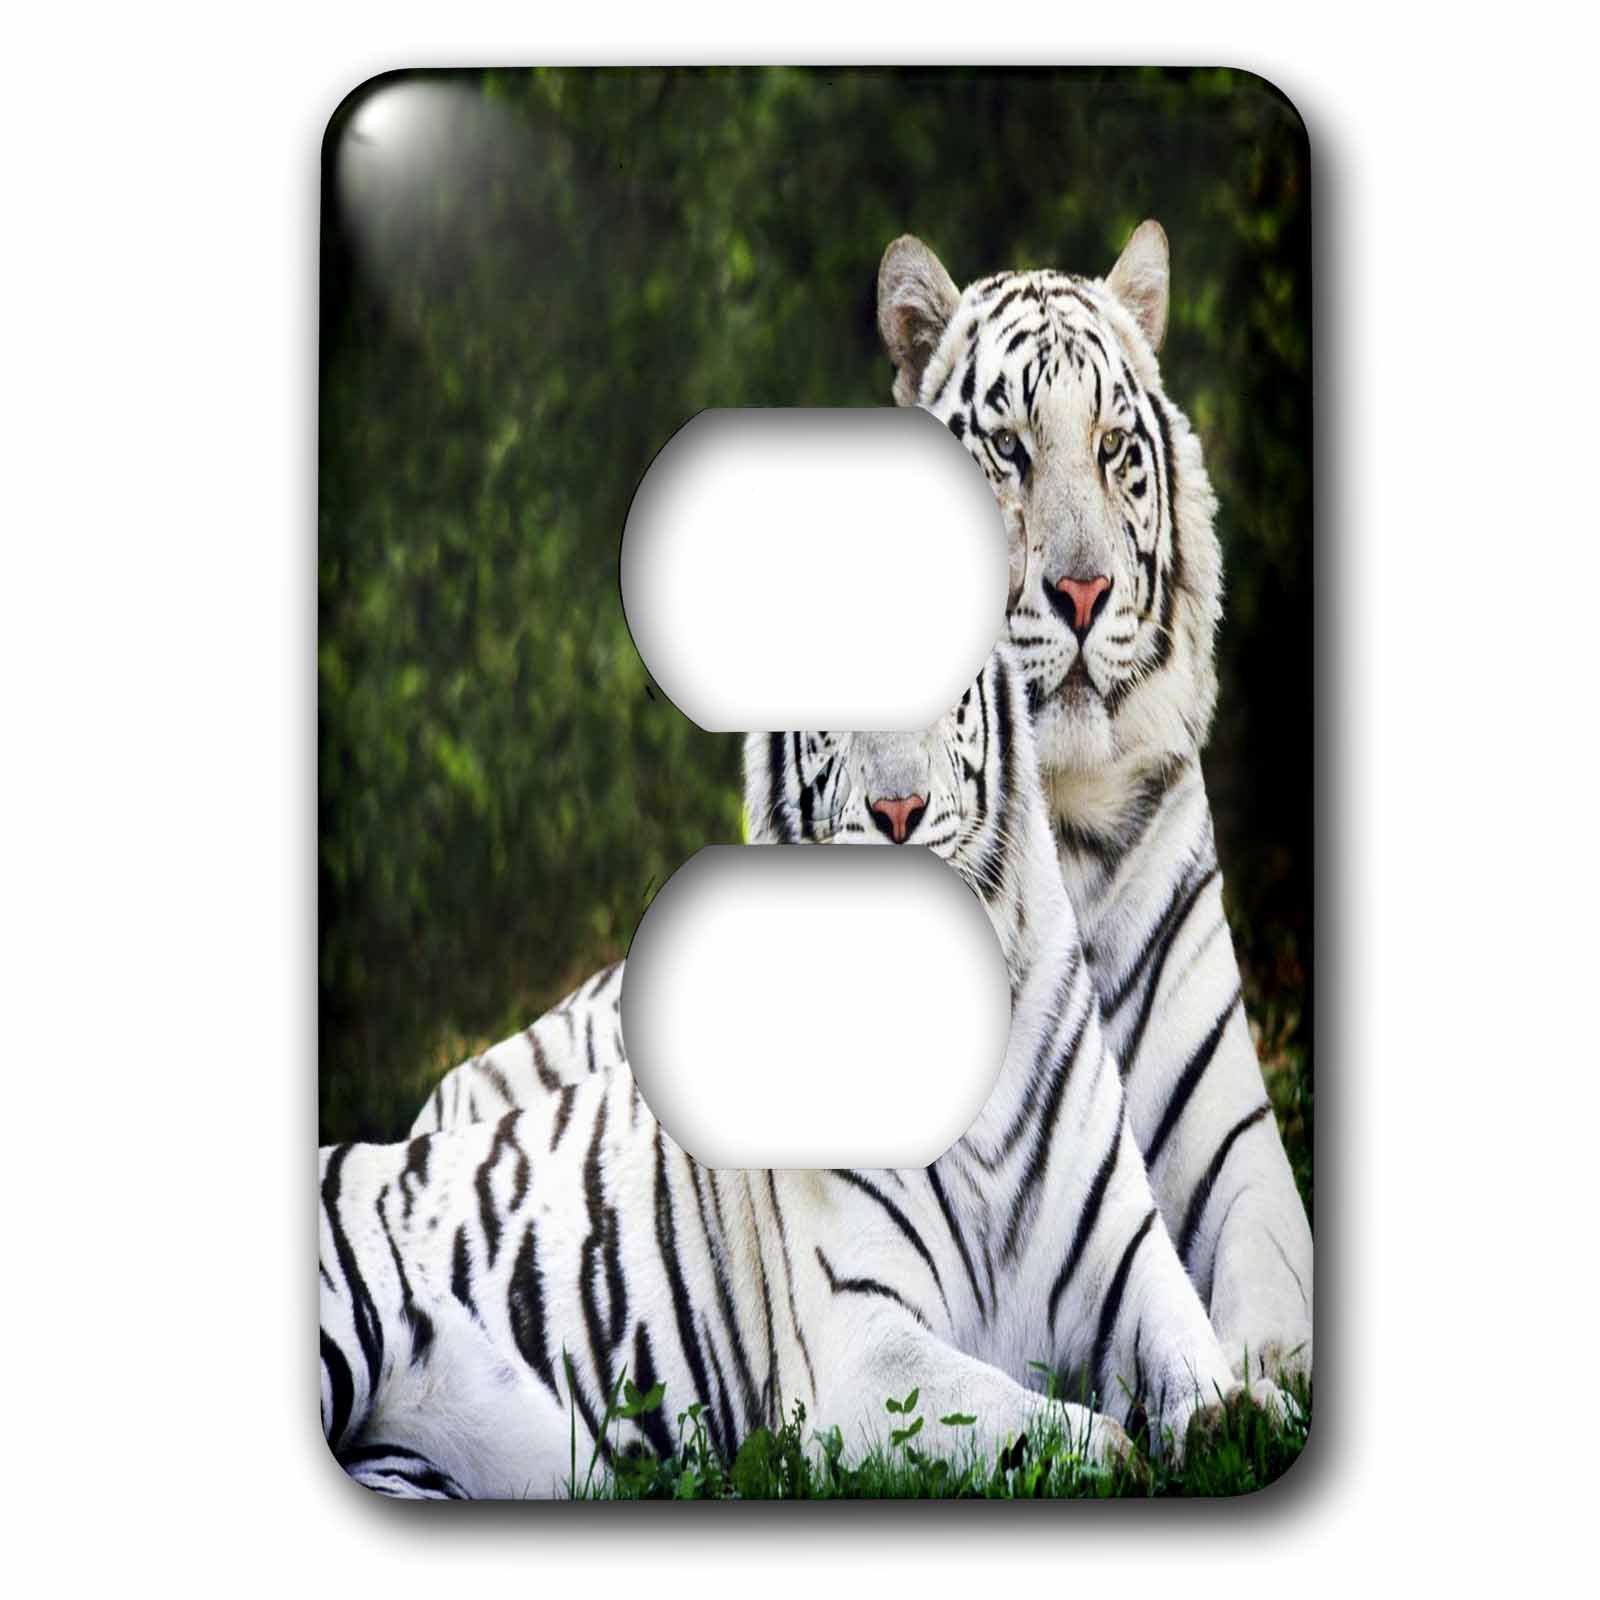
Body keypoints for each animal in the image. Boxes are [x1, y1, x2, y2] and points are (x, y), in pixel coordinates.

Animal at [323, 648, 1272, 1497]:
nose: (898, 810)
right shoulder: (857, 1347)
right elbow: (1024, 1418)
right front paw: (1124, 1451)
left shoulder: (1129, 1262)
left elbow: (1195, 1362)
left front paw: (1239, 1416)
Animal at [874, 220, 1312, 1382]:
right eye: (1008, 449)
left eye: (1116, 445)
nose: (1081, 592)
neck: (1062, 820)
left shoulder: (1234, 1139)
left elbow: (1269, 1279)